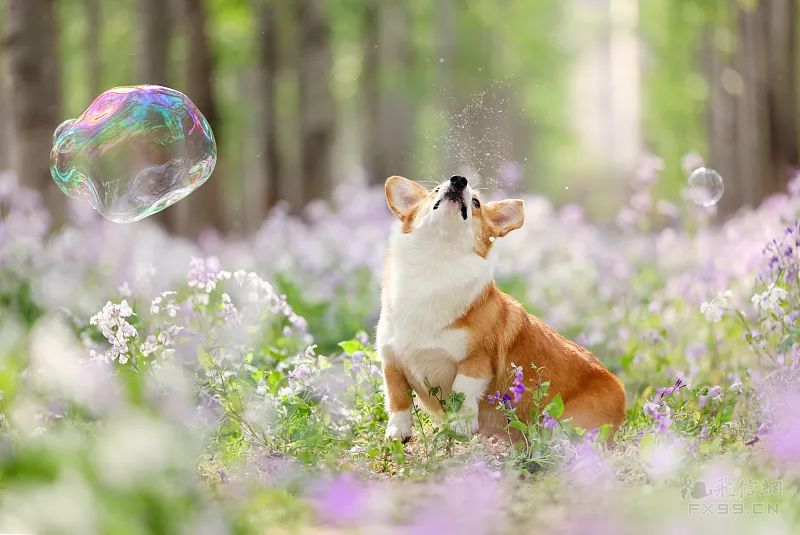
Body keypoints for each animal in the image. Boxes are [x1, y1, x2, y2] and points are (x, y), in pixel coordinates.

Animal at [378, 174, 628, 442]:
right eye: (435, 190)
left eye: (476, 202)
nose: (459, 180)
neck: (438, 262)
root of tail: (621, 391)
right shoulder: (391, 360)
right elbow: (398, 398)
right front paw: (397, 433)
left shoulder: (475, 362)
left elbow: (462, 393)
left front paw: (459, 428)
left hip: (569, 424)